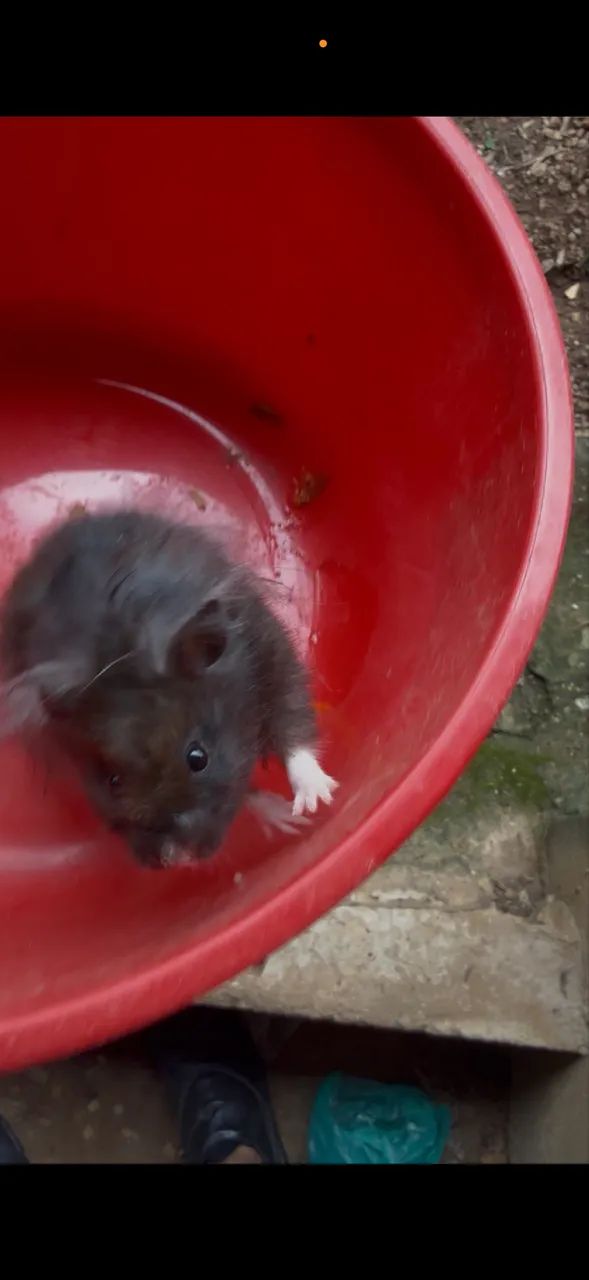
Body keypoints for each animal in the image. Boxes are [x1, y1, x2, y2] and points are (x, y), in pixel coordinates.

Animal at [0, 510, 337, 868]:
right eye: (112, 782)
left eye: (198, 758)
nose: (177, 860)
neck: (124, 648)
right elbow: (246, 788)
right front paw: (286, 818)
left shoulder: (269, 652)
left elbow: (293, 729)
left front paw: (312, 805)